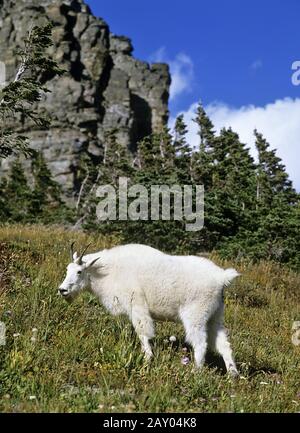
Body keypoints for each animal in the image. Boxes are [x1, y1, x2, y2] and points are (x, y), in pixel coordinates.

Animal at [58, 243, 240, 374]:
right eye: (67, 269)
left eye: (79, 271)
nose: (62, 290)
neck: (108, 271)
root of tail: (221, 278)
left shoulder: (137, 305)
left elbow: (143, 332)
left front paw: (147, 358)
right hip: (215, 315)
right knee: (224, 344)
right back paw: (233, 375)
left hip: (196, 315)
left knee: (201, 342)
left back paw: (196, 371)